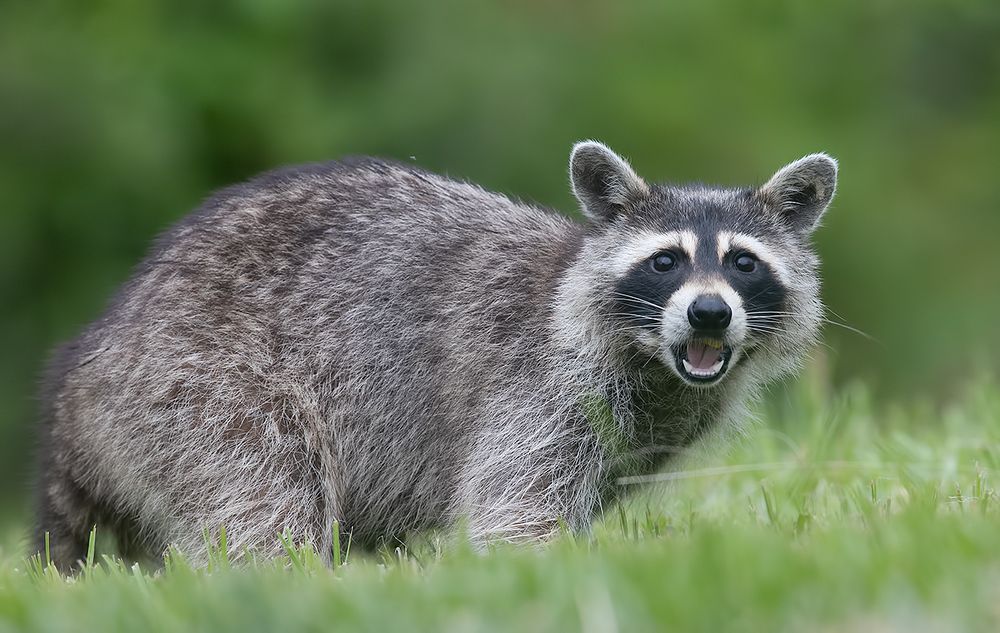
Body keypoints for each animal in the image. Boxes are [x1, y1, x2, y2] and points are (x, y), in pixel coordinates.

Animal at [35, 142, 836, 569]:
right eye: (666, 261)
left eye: (742, 263)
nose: (709, 312)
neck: (654, 363)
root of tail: (93, 350)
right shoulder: (540, 386)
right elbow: (517, 512)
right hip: (197, 380)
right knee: (263, 486)